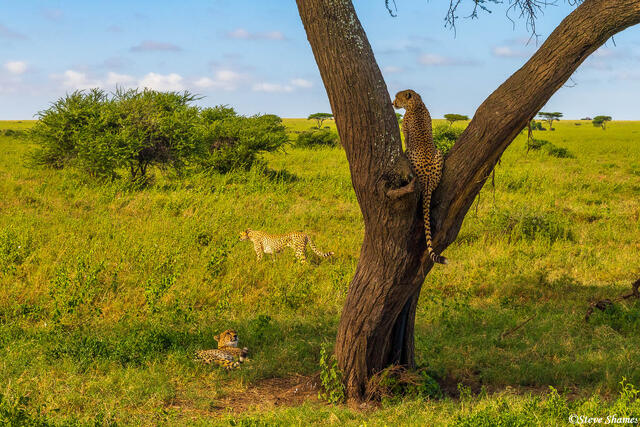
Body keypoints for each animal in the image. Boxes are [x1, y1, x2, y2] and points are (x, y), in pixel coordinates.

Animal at [393, 89, 448, 264]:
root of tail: (428, 182)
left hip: (411, 154)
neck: (416, 102)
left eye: (397, 97)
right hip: (439, 152)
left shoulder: (406, 134)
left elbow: (405, 139)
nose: (392, 103)